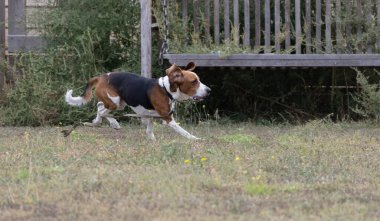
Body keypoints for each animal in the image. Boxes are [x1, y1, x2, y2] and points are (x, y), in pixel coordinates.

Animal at [65, 61, 211, 139]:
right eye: (194, 82)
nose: (209, 90)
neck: (166, 89)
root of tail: (101, 77)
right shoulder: (167, 118)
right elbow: (183, 131)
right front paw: (195, 139)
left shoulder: (151, 114)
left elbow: (149, 129)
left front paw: (152, 140)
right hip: (115, 102)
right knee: (102, 110)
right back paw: (110, 122)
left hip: (119, 103)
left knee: (100, 106)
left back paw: (101, 122)